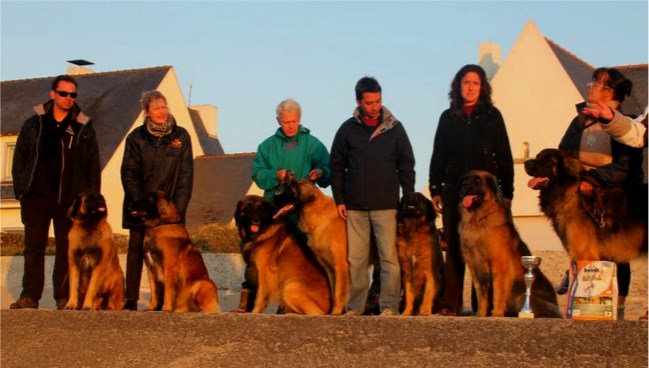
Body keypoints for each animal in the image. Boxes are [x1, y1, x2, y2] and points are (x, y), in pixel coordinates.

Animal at [456, 171, 560, 318]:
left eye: (477, 180)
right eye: (464, 179)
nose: (464, 186)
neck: (478, 219)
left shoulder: (499, 265)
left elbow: (498, 293)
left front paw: (496, 314)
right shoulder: (475, 267)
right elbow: (482, 295)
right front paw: (481, 314)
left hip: (524, 297)